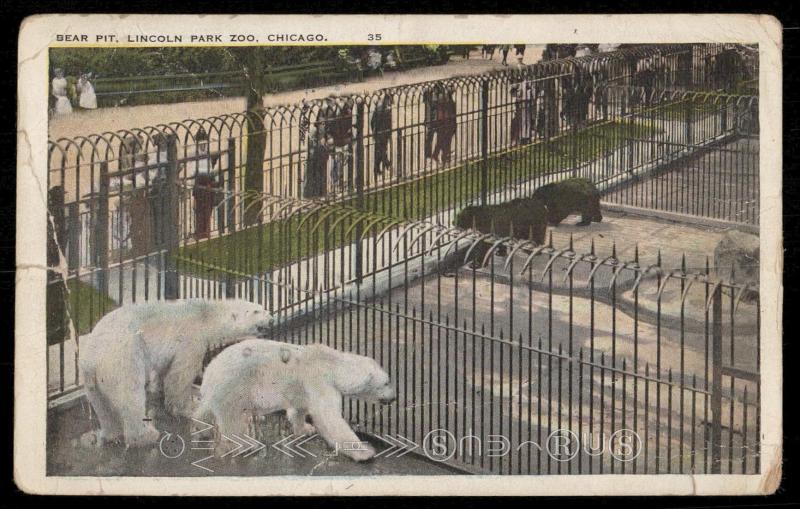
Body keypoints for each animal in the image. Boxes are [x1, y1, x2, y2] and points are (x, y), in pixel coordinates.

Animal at [79, 300, 272, 446]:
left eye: (264, 307)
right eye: (256, 311)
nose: (271, 319)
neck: (204, 314)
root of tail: (92, 358)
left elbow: (165, 370)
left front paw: (160, 390)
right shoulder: (191, 339)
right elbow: (180, 375)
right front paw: (188, 407)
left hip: (92, 375)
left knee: (101, 404)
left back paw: (112, 434)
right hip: (123, 358)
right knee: (130, 395)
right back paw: (146, 435)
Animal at [194, 338, 394, 460]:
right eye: (386, 383)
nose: (394, 397)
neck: (331, 363)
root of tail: (209, 370)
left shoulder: (302, 387)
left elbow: (299, 408)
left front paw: (305, 428)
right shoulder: (319, 380)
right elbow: (329, 416)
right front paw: (365, 452)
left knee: (208, 410)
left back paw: (200, 427)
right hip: (234, 385)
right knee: (232, 420)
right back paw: (247, 444)